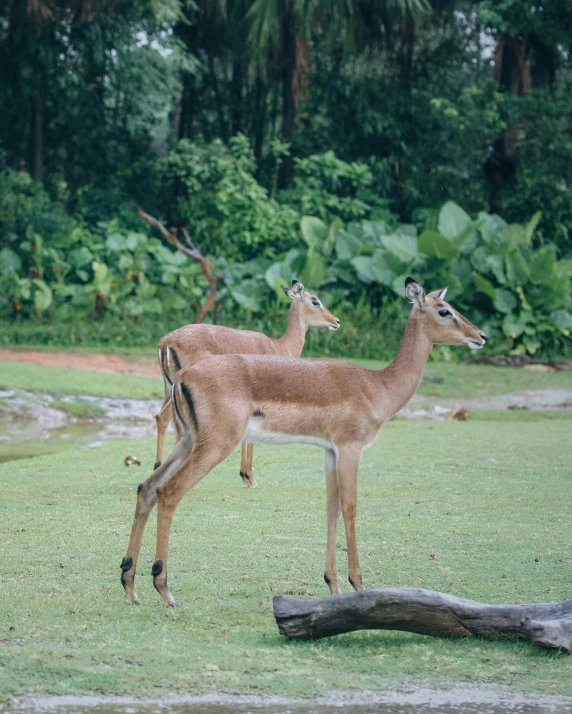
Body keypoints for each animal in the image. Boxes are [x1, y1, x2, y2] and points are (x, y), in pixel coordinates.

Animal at [153, 278, 340, 484]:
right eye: (316, 301)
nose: (336, 321)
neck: (278, 347)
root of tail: (166, 341)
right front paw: (248, 476)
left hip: (169, 388)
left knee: (162, 418)